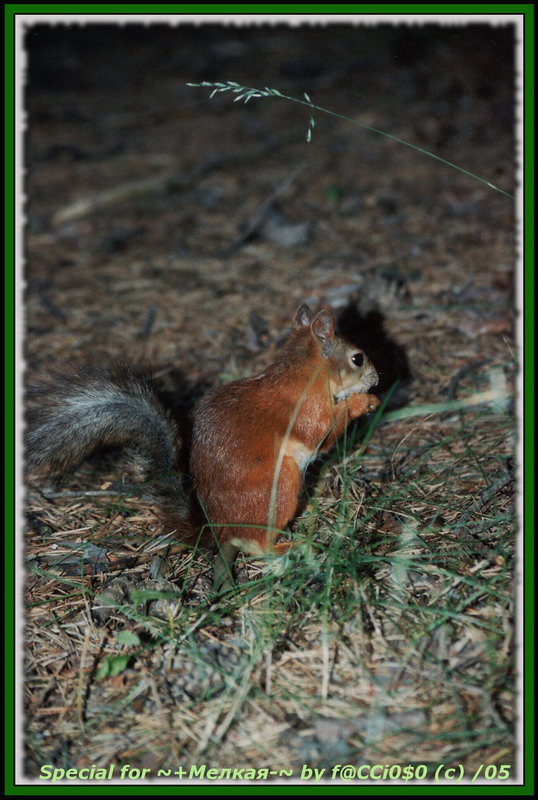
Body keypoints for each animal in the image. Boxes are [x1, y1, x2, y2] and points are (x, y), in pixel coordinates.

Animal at [26, 304, 380, 591]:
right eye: (357, 358)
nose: (376, 379)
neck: (305, 373)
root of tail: (221, 533)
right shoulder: (306, 409)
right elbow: (322, 431)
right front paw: (365, 402)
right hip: (282, 487)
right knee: (257, 545)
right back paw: (285, 548)